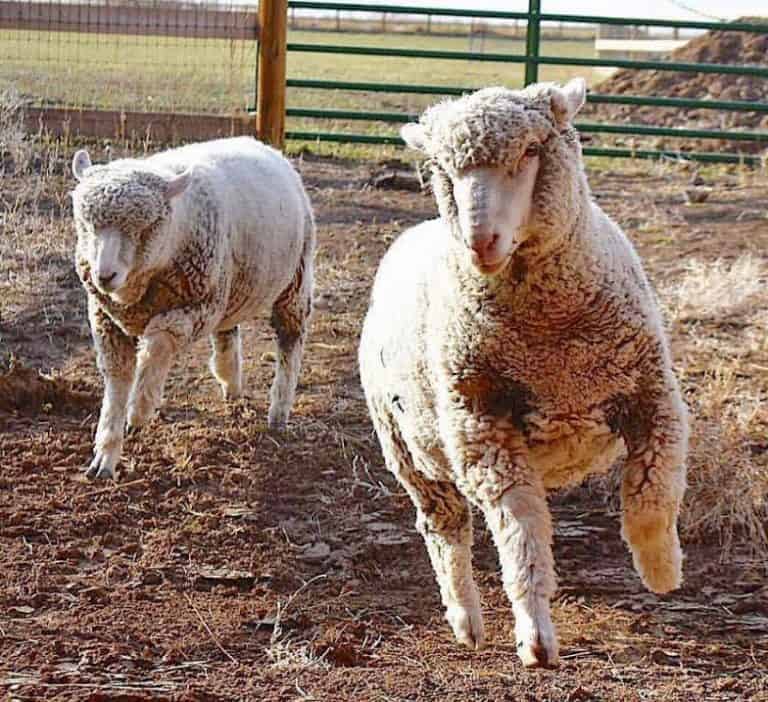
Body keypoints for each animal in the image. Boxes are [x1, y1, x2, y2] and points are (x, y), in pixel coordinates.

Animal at [71, 136, 315, 480]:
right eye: (86, 224)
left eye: (146, 227)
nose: (104, 276)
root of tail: (260, 143)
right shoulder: (107, 322)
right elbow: (117, 383)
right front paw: (105, 455)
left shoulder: (194, 311)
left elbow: (157, 347)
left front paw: (138, 411)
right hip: (229, 288)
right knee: (228, 332)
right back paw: (230, 382)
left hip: (293, 282)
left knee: (289, 342)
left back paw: (279, 410)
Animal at [358, 79, 688, 668]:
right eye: (442, 169)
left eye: (532, 150)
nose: (479, 241)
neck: (550, 341)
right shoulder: (482, 425)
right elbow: (521, 533)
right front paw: (535, 635)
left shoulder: (654, 397)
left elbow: (652, 495)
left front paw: (661, 569)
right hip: (407, 447)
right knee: (445, 529)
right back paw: (466, 620)